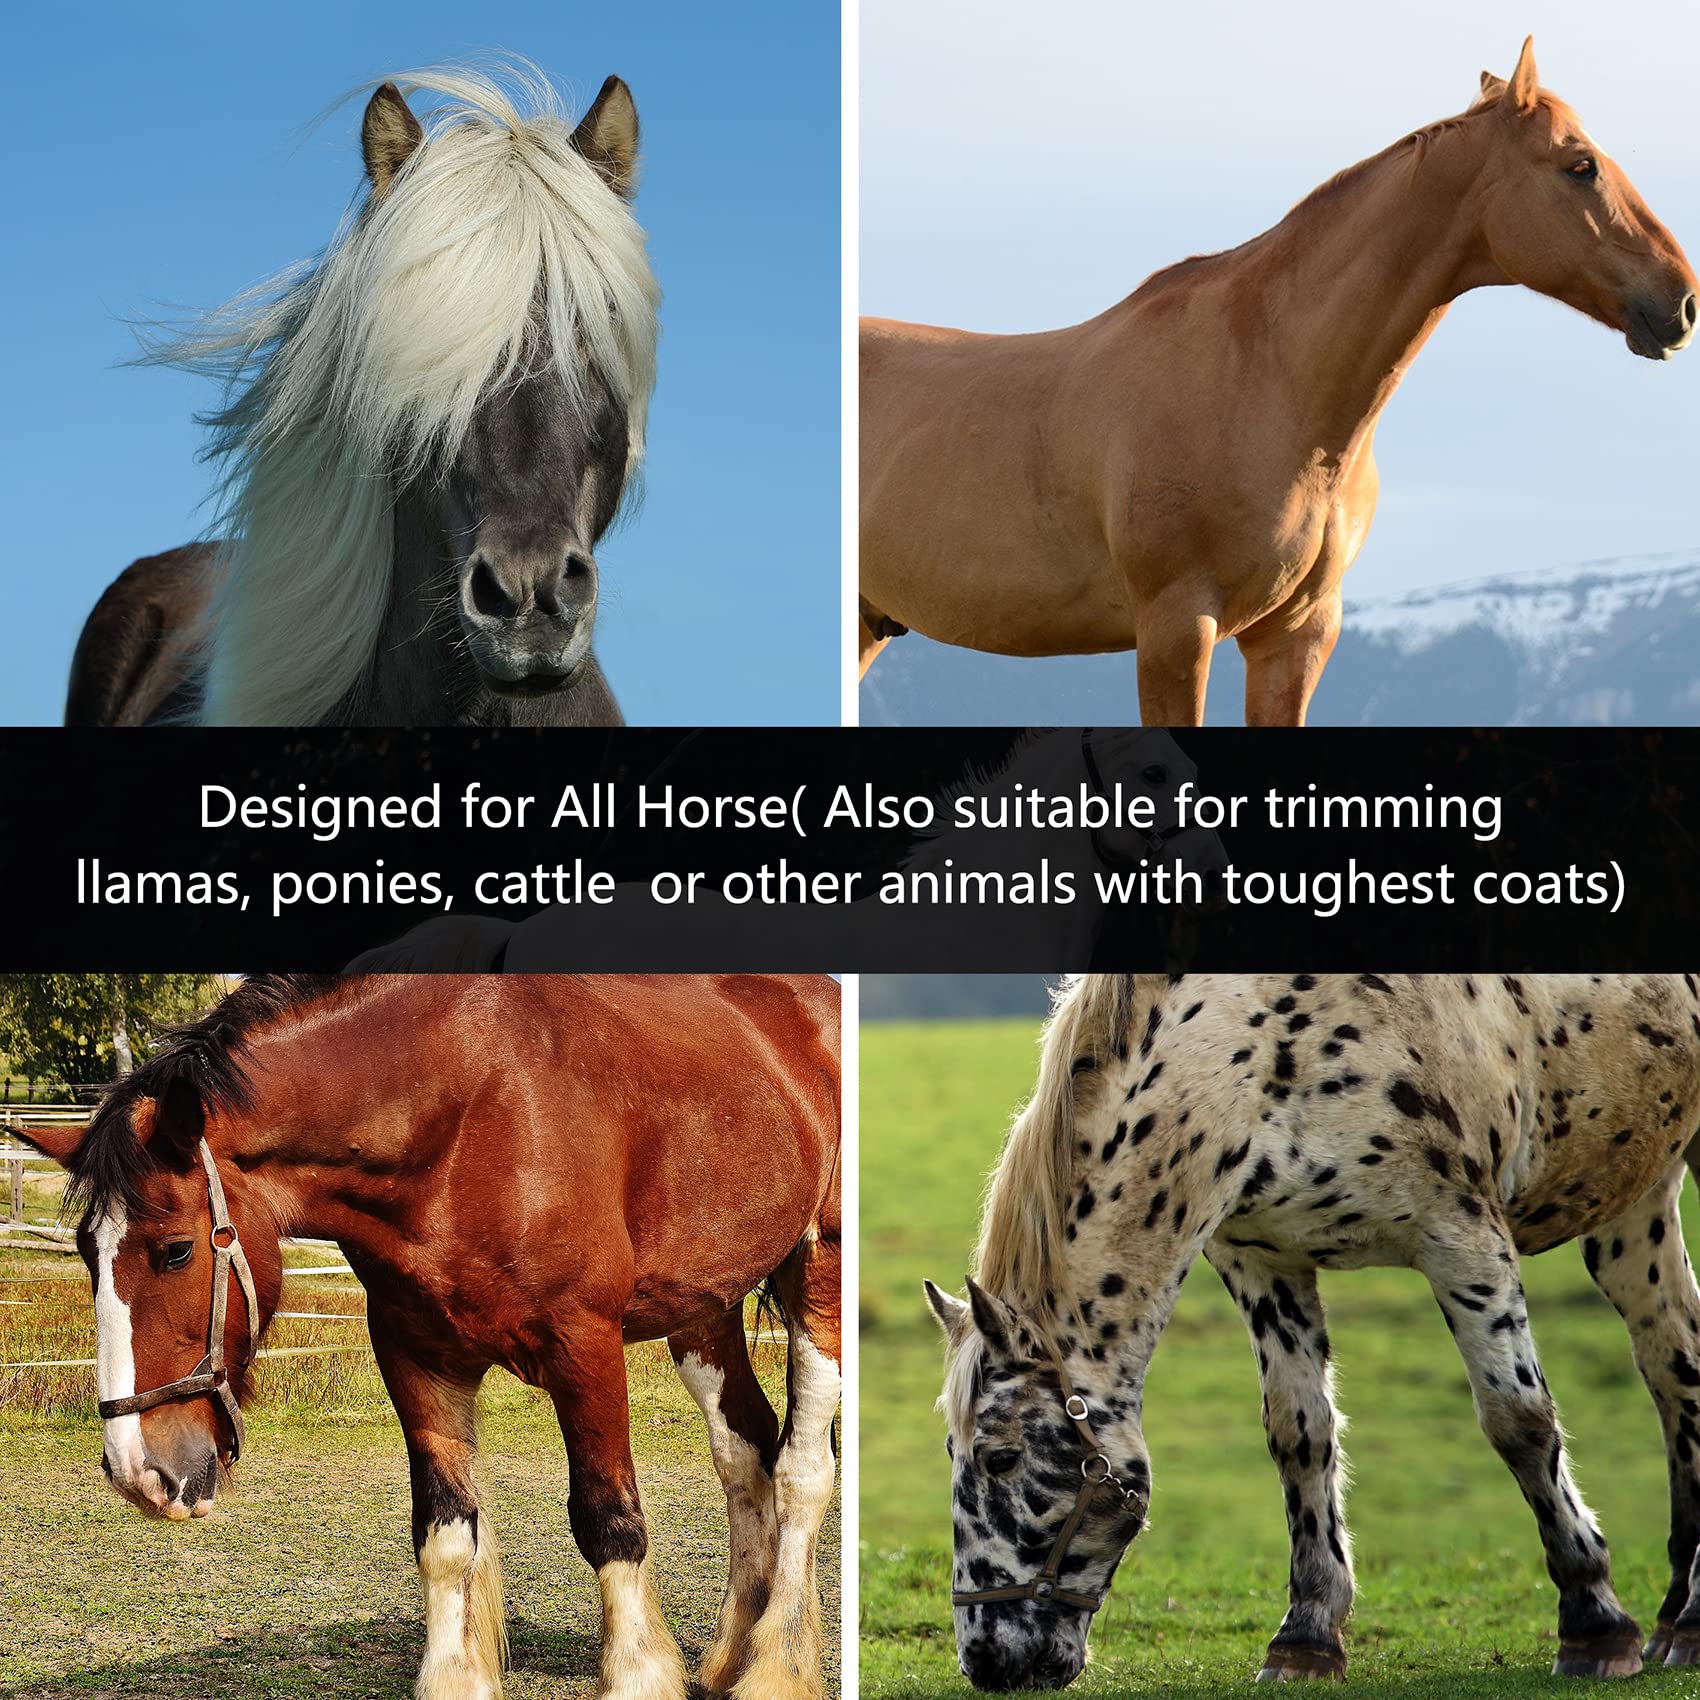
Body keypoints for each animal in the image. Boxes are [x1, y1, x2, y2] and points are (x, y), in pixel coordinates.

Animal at [15, 974, 841, 1700]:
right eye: (87, 1252)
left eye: (176, 1250)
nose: (138, 1472)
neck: (464, 1117)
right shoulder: (416, 1358)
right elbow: (445, 1535)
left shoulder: (586, 1349)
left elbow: (610, 1522)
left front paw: (638, 1677)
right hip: (704, 1308)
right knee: (744, 1450)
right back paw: (732, 1655)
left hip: (818, 1277)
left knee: (802, 1468)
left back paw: (776, 1668)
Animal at [926, 973, 1700, 1689]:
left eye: (1001, 1458)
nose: (987, 1661)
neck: (1268, 1040)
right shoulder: (1262, 1259)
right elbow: (1299, 1436)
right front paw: (1306, 1637)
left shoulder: (1463, 1239)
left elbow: (1520, 1422)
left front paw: (1594, 1621)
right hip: (1637, 1204)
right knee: (1675, 1366)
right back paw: (1679, 1620)